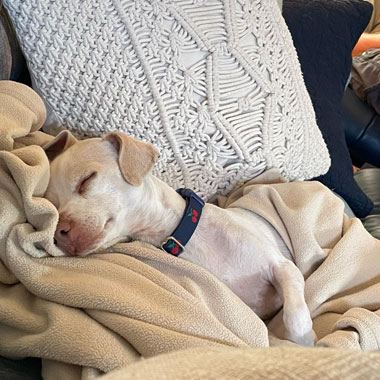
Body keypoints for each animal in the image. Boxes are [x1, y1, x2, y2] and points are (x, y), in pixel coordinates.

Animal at [43, 131, 314, 348]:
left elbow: (295, 319)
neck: (186, 233)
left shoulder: (284, 267)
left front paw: (305, 343)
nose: (59, 232)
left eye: (87, 179)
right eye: (53, 205)